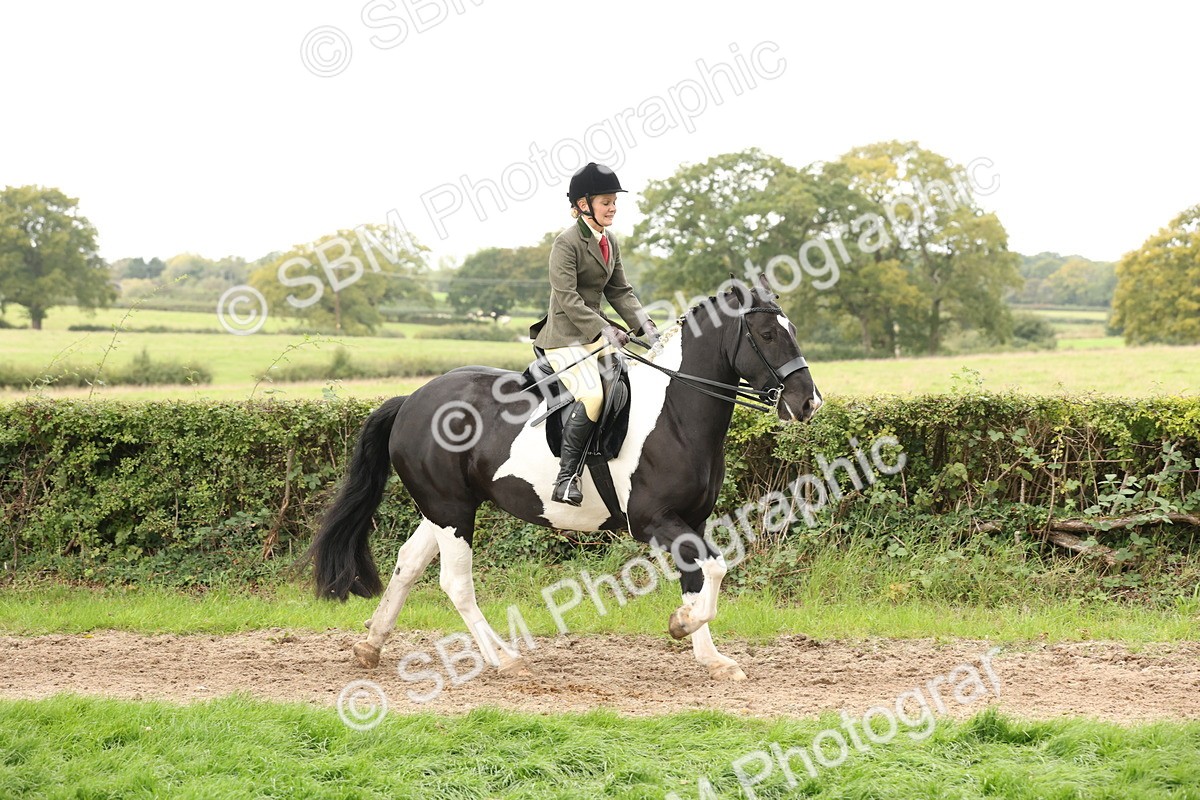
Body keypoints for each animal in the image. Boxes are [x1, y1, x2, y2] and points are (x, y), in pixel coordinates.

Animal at [308, 278, 822, 681]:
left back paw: (370, 646)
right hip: (451, 510)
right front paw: (681, 625)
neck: (675, 413)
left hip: (444, 508)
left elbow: (699, 576)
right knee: (455, 583)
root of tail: (412, 400)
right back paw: (504, 659)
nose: (808, 402)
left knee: (408, 563)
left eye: (794, 331)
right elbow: (713, 568)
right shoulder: (653, 520)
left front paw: (711, 657)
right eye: (768, 333)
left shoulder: (690, 520)